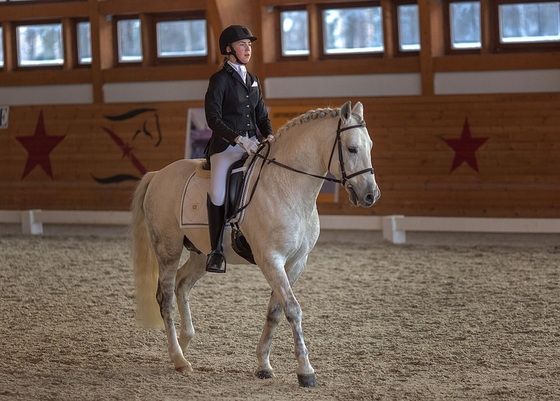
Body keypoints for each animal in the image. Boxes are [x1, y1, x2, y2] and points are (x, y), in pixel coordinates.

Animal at [131, 100, 380, 384]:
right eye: (352, 148)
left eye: (370, 146)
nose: (371, 195)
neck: (288, 186)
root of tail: (158, 174)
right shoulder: (271, 259)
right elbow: (292, 309)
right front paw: (305, 370)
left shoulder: (296, 262)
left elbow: (275, 311)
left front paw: (264, 365)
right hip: (168, 248)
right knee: (165, 298)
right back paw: (178, 358)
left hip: (200, 254)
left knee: (182, 284)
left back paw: (184, 343)